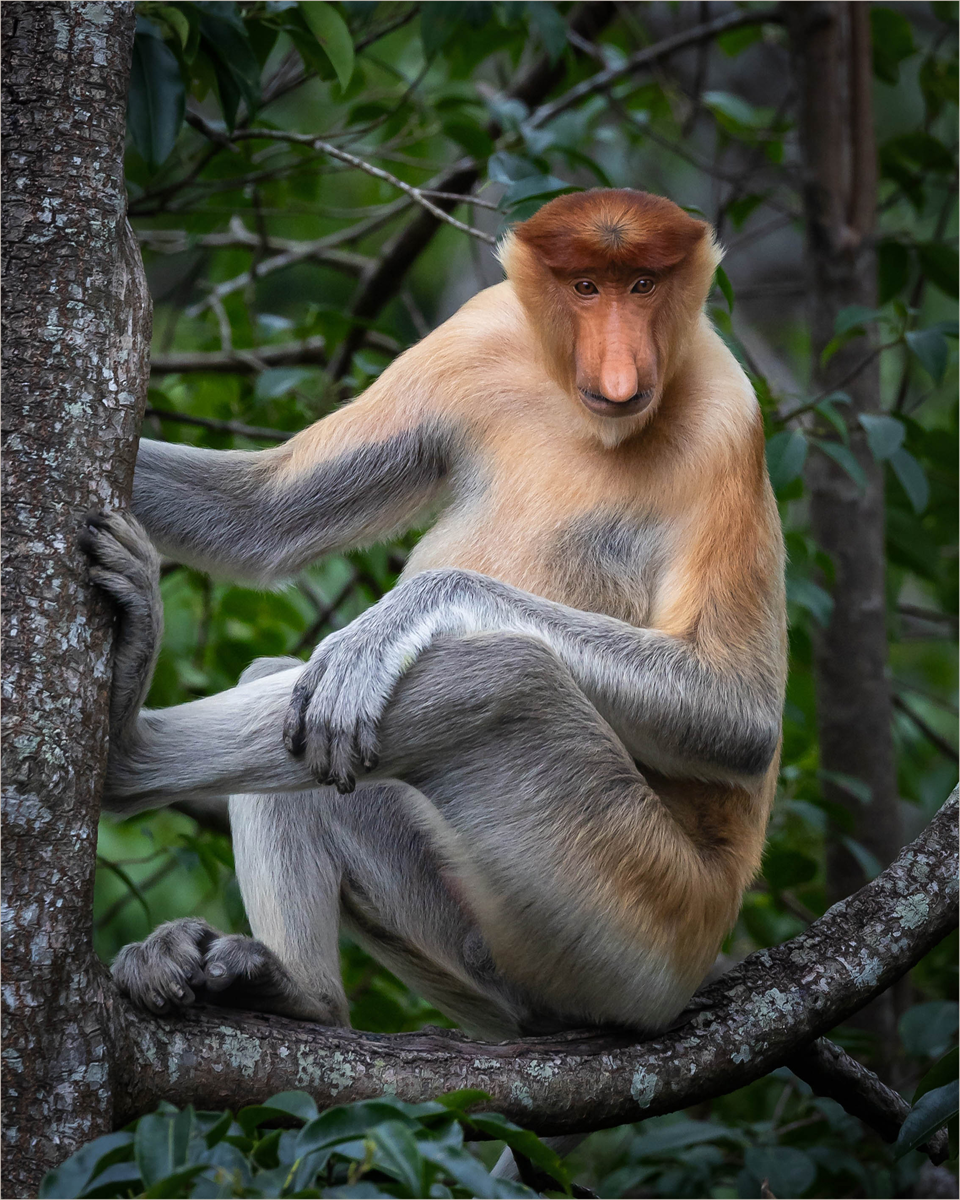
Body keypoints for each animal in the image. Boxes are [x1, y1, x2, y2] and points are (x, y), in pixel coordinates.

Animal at [86, 188, 787, 1043]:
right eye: (586, 287)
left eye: (645, 286)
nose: (621, 373)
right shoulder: (475, 334)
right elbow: (263, 517)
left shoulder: (730, 421)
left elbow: (738, 715)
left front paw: (390, 623)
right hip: (467, 928)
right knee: (302, 696)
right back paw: (292, 986)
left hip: (640, 918)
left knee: (500, 685)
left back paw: (135, 762)